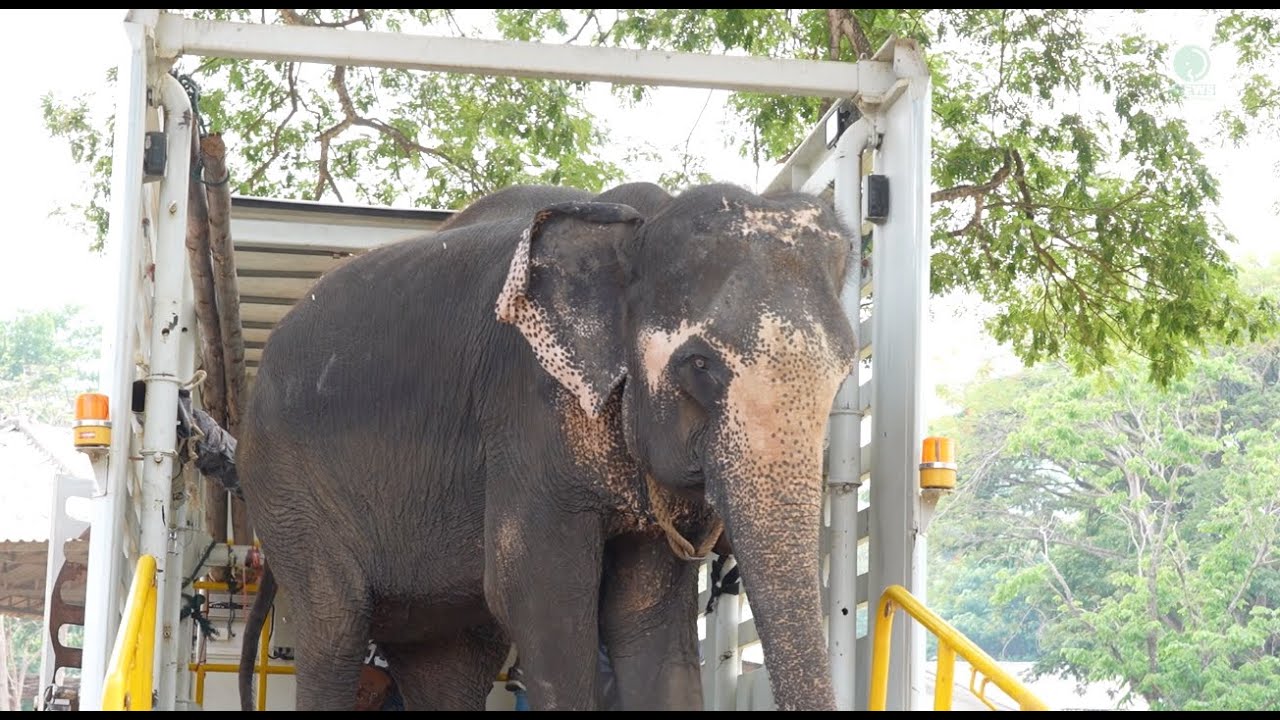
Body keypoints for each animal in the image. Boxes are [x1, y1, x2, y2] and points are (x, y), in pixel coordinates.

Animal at [234, 179, 856, 711]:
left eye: (846, 371)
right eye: (699, 364)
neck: (638, 227)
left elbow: (646, 618)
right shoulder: (525, 413)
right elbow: (538, 594)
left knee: (452, 659)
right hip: (285, 488)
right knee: (336, 628)